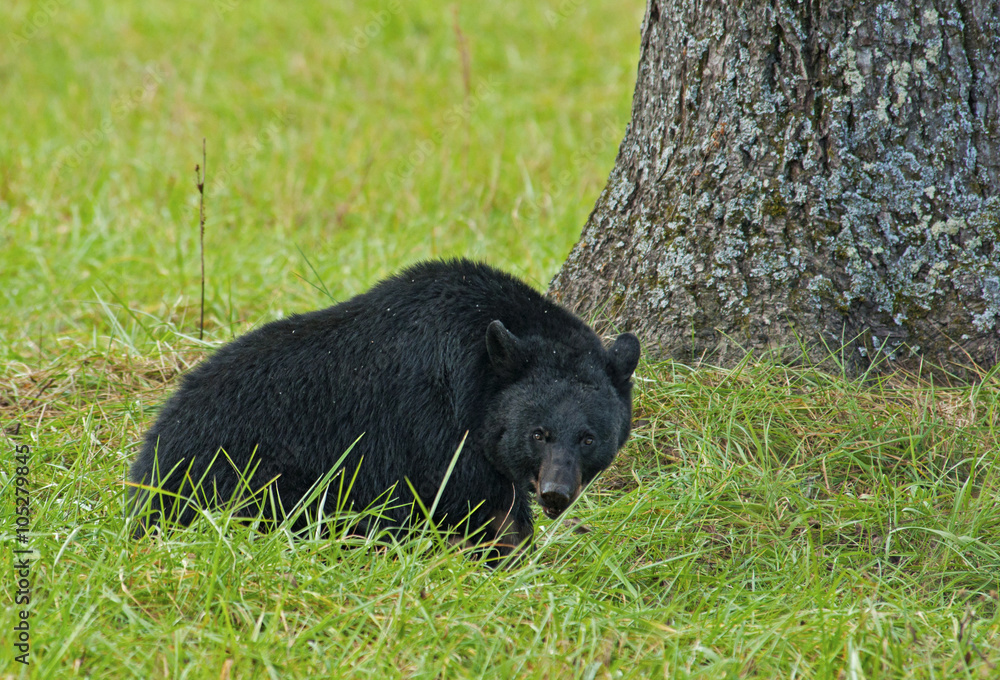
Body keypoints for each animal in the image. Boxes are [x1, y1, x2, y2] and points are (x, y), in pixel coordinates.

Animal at [128, 259, 640, 562]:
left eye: (588, 438)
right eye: (538, 433)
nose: (556, 493)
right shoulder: (434, 424)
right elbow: (471, 501)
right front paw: (501, 554)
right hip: (248, 472)